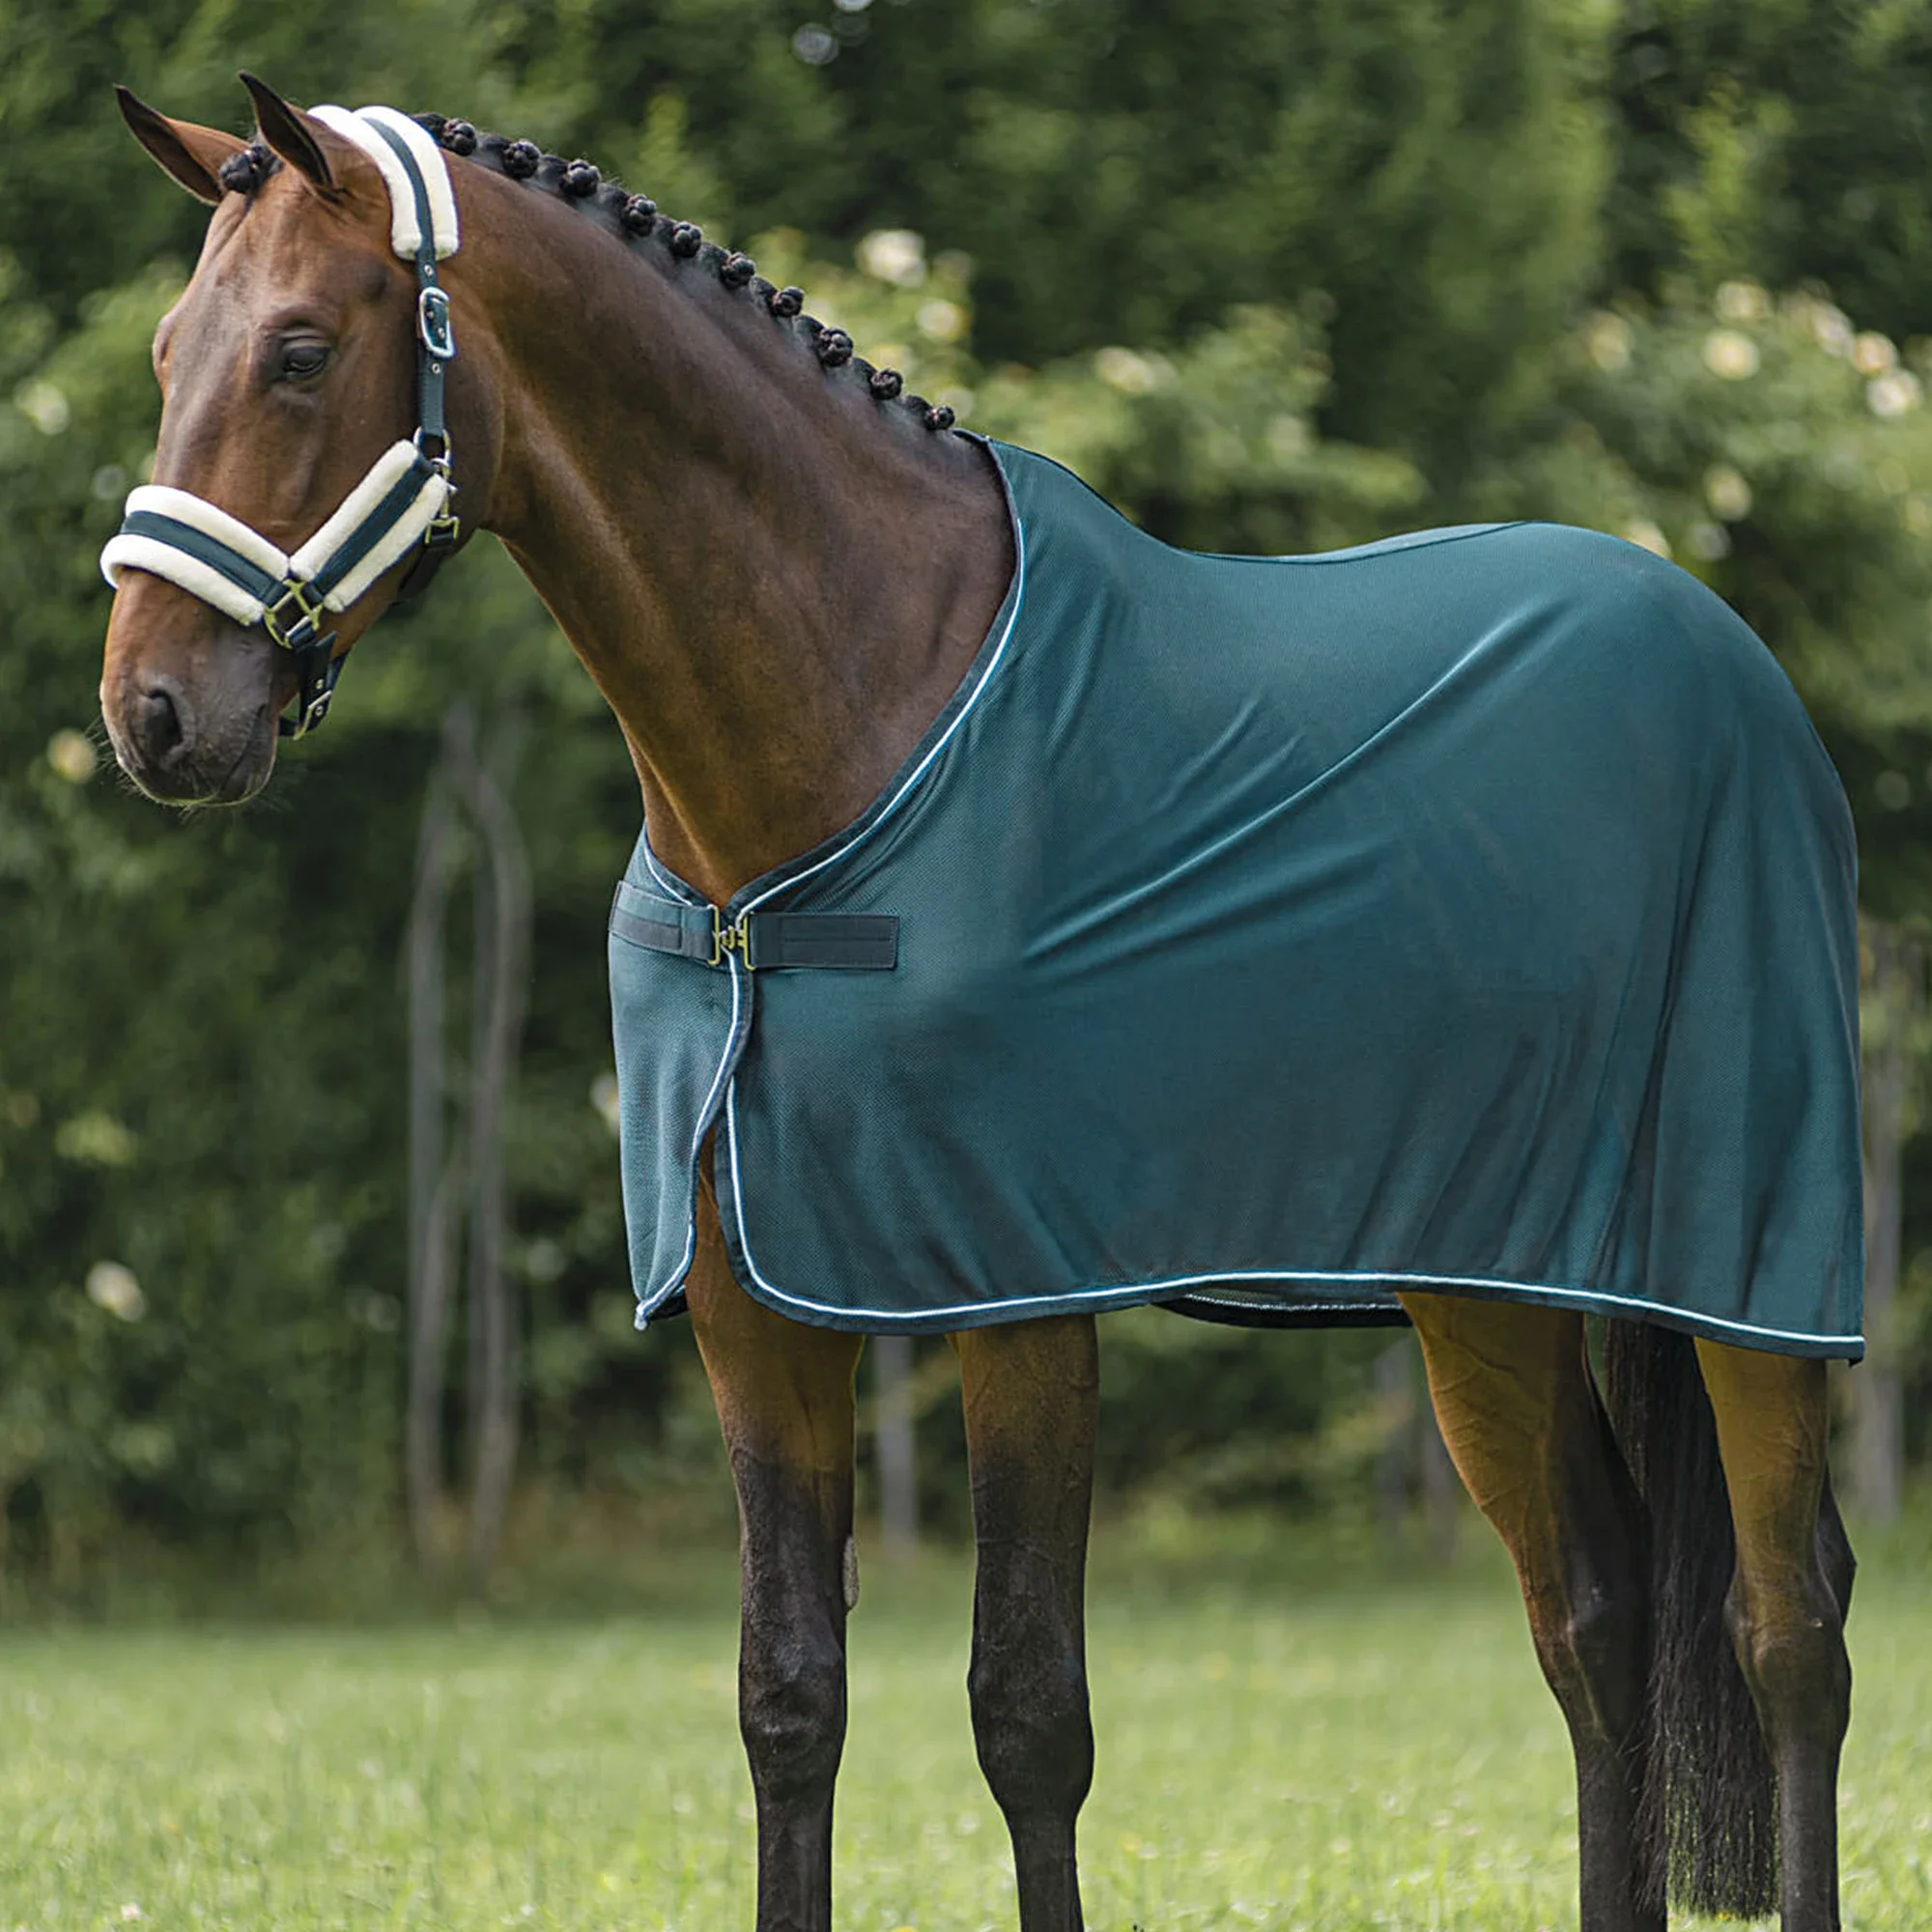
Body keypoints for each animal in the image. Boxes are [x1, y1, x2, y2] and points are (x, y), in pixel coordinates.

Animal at [97, 75, 1859, 1932]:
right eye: (166, 351)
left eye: (298, 351)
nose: (154, 712)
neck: (843, 734)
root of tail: (1726, 655)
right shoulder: (752, 1313)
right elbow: (789, 1698)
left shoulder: (1017, 1295)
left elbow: (1028, 1711)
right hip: (1489, 1286)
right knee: (1596, 1622)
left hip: (1744, 1279)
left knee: (1787, 1629)